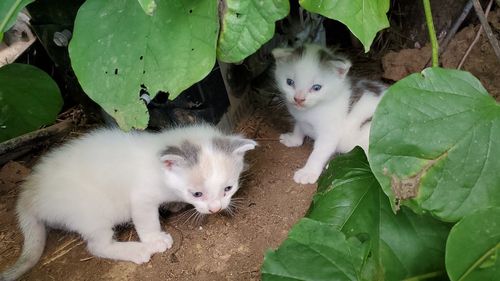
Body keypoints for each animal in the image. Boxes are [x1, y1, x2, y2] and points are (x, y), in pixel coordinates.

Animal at [0, 124, 256, 280]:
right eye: (196, 194)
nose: (215, 209)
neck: (157, 164)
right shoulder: (141, 197)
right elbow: (146, 221)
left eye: (228, 189)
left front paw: (175, 206)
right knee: (97, 246)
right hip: (91, 213)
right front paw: (155, 240)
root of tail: (30, 192)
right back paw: (137, 250)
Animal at [274, 43, 386, 184]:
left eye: (316, 88)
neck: (311, 111)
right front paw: (293, 139)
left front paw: (308, 172)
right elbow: (298, 128)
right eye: (289, 82)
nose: (298, 99)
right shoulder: (301, 119)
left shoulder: (330, 132)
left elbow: (319, 152)